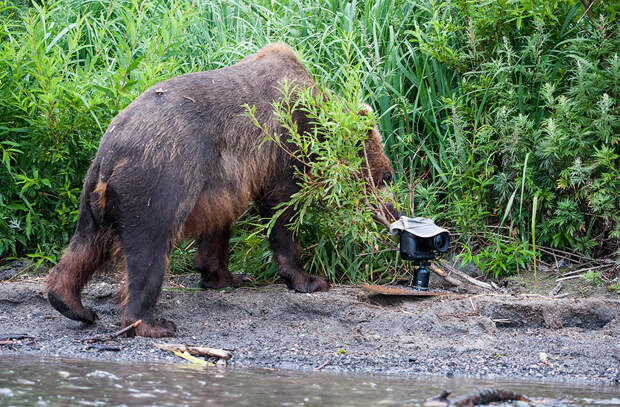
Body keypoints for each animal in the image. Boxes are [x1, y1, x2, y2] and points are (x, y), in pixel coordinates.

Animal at [47, 43, 398, 340]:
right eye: (387, 175)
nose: (393, 213)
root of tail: (111, 153)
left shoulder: (220, 180)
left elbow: (217, 224)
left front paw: (225, 276)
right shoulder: (283, 142)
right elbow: (282, 208)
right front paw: (309, 279)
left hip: (94, 189)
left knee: (85, 243)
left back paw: (71, 303)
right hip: (157, 178)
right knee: (149, 249)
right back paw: (152, 323)